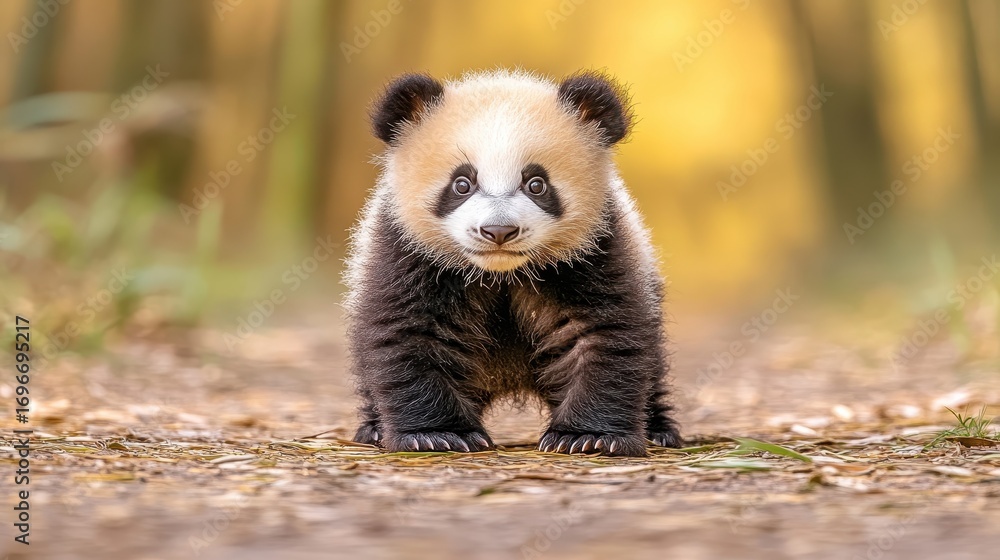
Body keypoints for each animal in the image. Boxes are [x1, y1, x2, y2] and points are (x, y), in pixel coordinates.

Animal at [346, 69, 681, 457]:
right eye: (462, 184)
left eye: (536, 184)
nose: (499, 231)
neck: (501, 274)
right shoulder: (407, 252)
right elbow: (409, 334)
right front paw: (437, 434)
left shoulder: (596, 250)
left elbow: (604, 334)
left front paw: (588, 437)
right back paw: (373, 429)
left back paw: (658, 430)